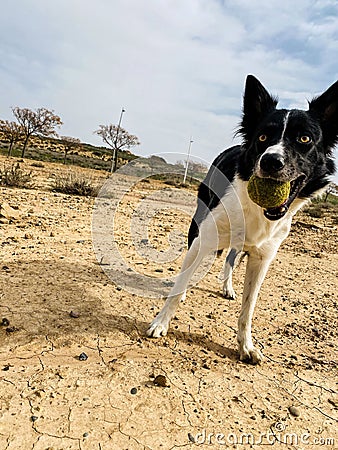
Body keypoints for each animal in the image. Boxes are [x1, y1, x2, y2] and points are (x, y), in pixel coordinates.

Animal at [147, 75, 338, 364]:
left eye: (305, 138)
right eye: (263, 136)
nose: (271, 161)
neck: (256, 210)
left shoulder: (262, 258)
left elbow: (249, 307)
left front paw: (245, 345)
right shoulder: (203, 240)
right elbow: (178, 289)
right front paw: (160, 323)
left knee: (230, 258)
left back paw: (227, 287)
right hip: (199, 224)